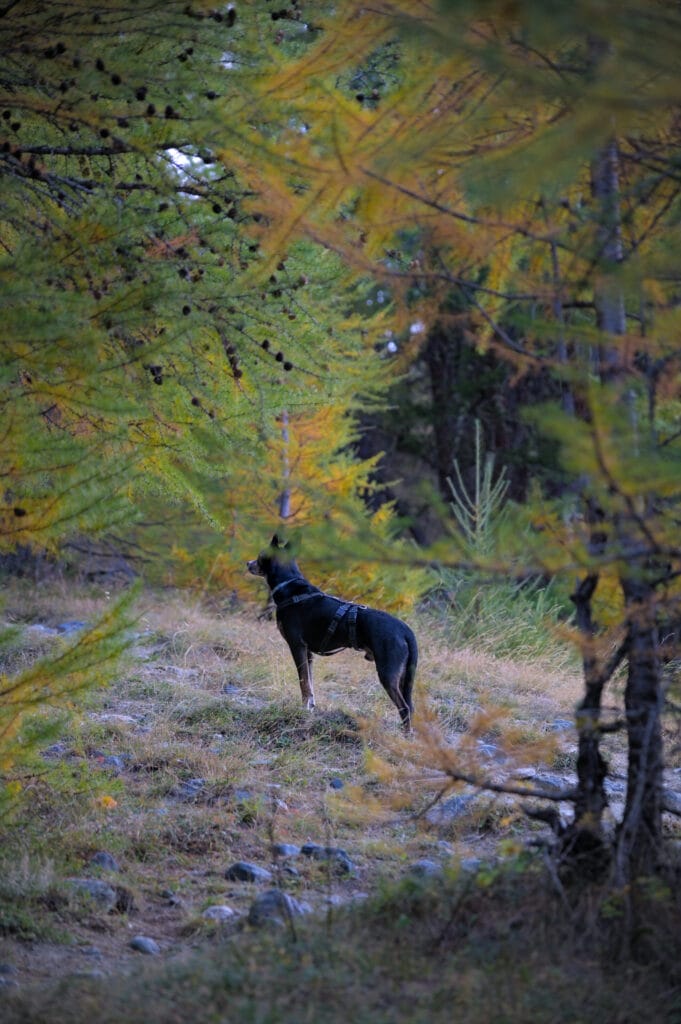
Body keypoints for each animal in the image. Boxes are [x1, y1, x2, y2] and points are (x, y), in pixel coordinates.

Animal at [244, 536, 413, 729]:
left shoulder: (297, 646)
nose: (248, 563)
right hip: (403, 677)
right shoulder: (308, 653)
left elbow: (303, 683)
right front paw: (310, 708)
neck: (289, 586)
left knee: (405, 708)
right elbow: (309, 684)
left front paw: (303, 710)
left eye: (260, 556)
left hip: (388, 673)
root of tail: (405, 629)